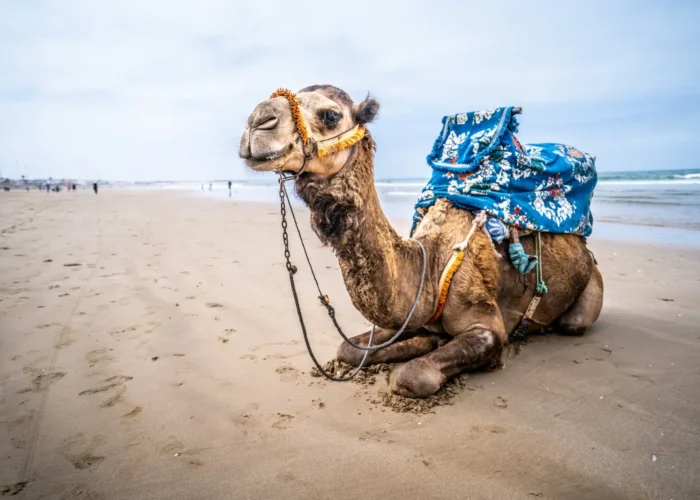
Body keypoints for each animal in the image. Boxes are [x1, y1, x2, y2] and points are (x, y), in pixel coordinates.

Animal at [239, 85, 604, 399]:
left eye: (330, 115)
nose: (258, 120)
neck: (430, 264)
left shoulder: (487, 325)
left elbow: (412, 375)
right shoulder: (412, 316)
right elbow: (348, 349)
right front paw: (419, 344)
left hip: (588, 290)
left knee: (573, 323)